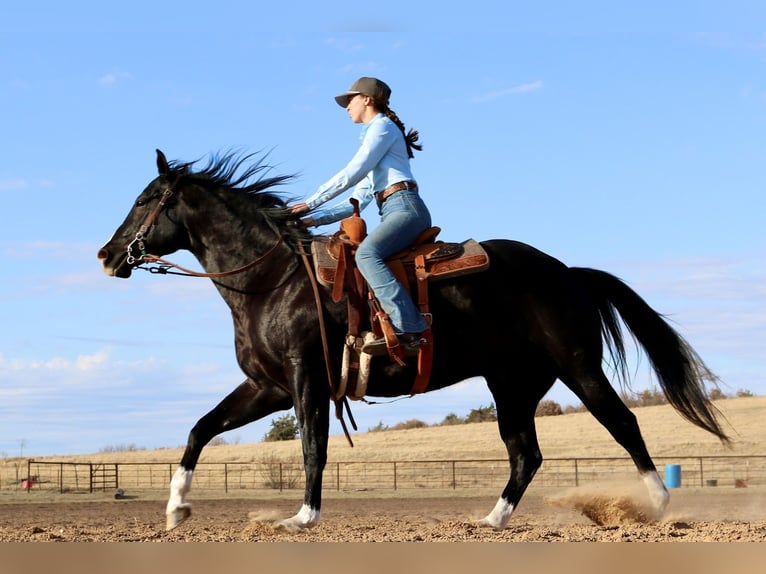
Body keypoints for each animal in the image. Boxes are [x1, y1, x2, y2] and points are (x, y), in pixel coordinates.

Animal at [97, 149, 729, 532]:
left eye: (144, 200)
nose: (106, 255)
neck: (272, 277)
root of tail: (569, 273)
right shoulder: (266, 386)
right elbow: (200, 429)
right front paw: (177, 508)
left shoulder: (307, 380)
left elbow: (312, 449)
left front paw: (302, 518)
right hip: (512, 385)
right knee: (525, 451)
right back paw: (491, 520)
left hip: (579, 369)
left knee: (622, 423)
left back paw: (658, 503)